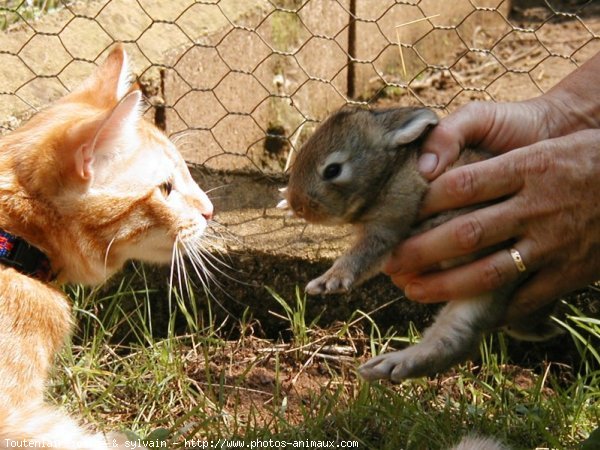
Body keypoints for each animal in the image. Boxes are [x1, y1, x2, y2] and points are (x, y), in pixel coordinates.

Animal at [280, 107, 556, 382]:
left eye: (332, 170)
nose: (298, 204)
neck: (389, 172)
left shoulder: (389, 223)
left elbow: (362, 255)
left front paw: (327, 282)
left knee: (454, 341)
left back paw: (390, 365)